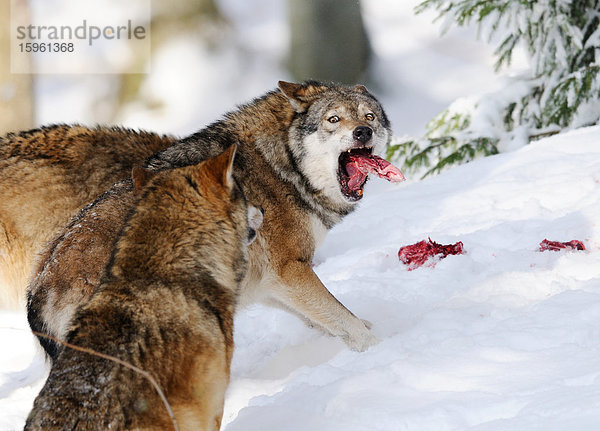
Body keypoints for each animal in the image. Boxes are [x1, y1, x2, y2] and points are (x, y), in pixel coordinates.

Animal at [16, 80, 394, 352]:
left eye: (369, 117)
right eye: (334, 120)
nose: (363, 132)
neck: (281, 163)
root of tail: (39, 288)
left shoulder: (266, 283)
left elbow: (328, 319)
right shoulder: (289, 269)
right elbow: (342, 316)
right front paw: (380, 347)